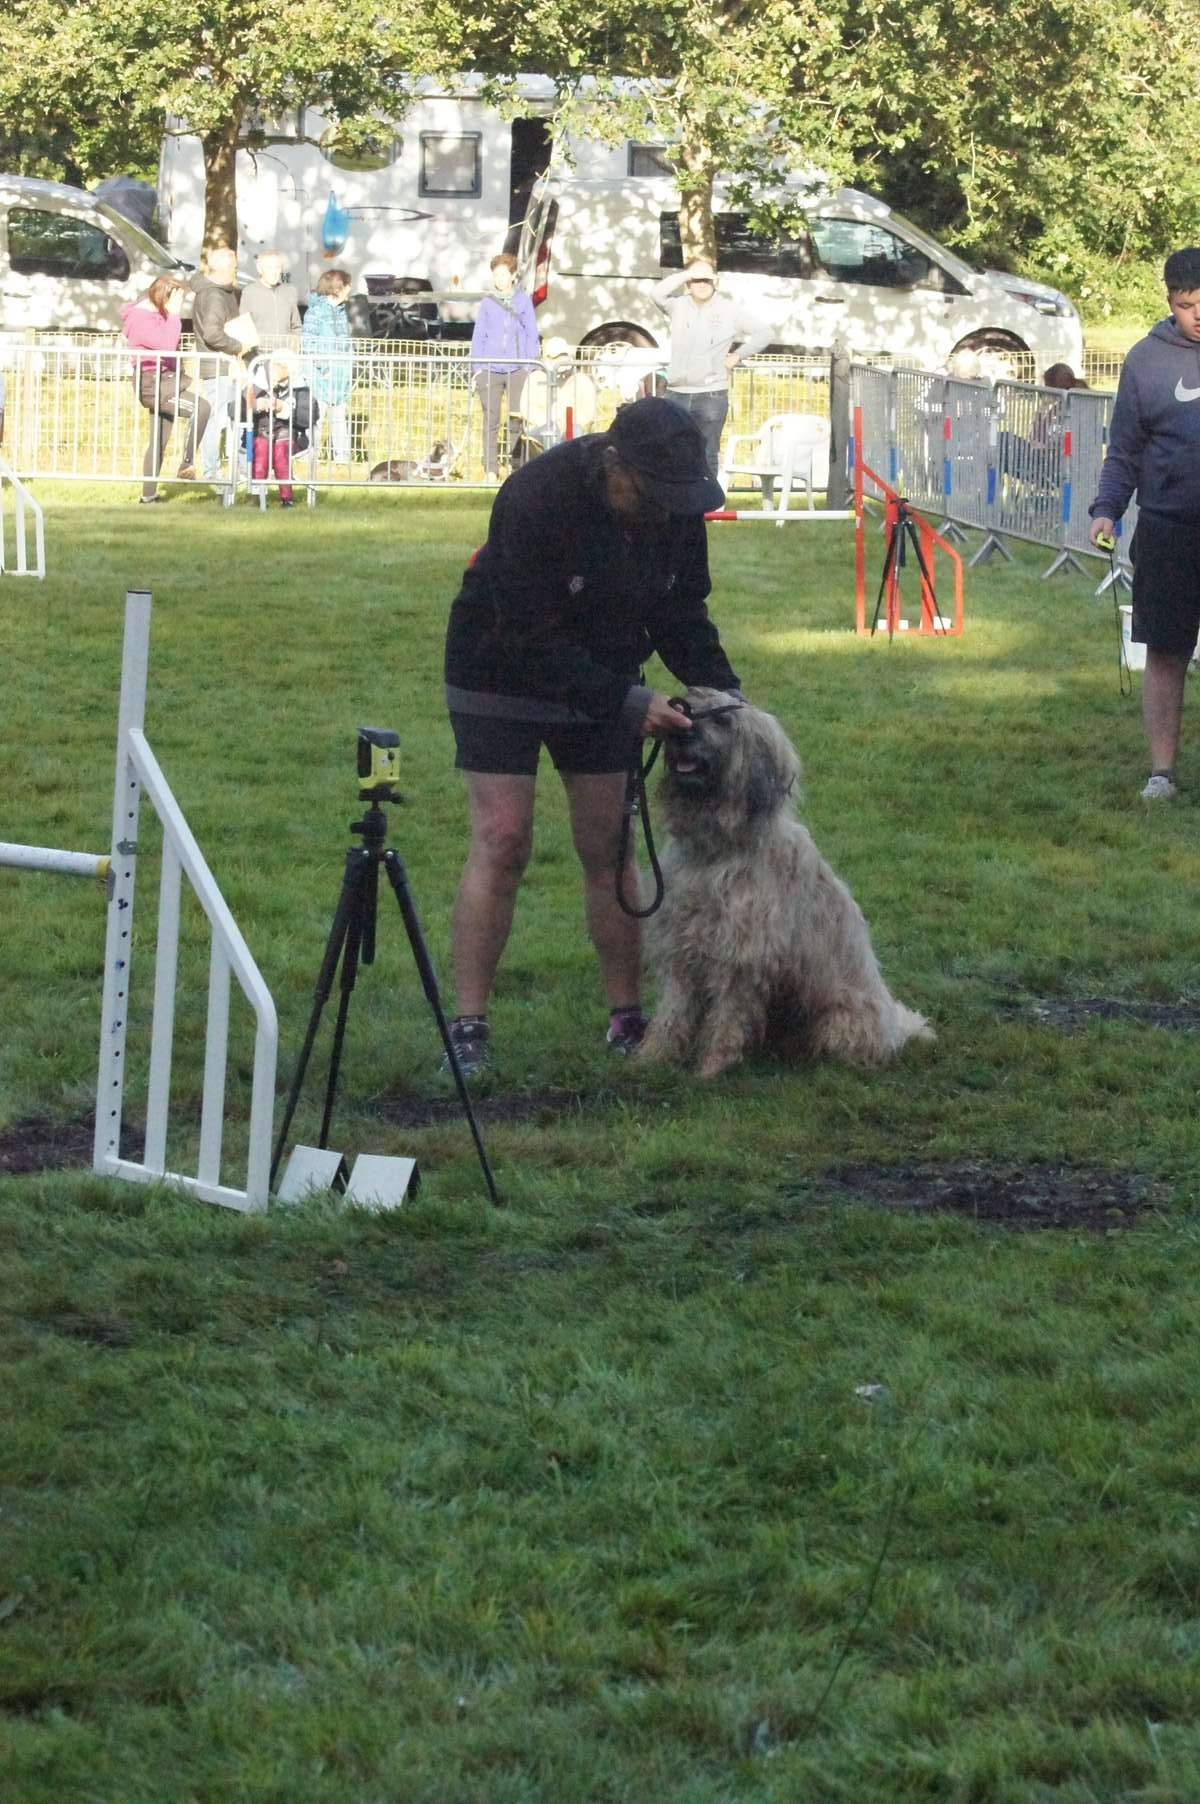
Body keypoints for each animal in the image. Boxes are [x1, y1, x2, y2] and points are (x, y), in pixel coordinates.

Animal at [642, 689, 931, 1075]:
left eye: (722, 720)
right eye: (688, 708)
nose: (681, 733)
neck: (717, 851)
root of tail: (894, 1028)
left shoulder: (741, 954)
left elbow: (726, 1018)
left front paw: (711, 1068)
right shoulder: (681, 943)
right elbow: (673, 1010)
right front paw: (651, 1056)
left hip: (839, 1020)